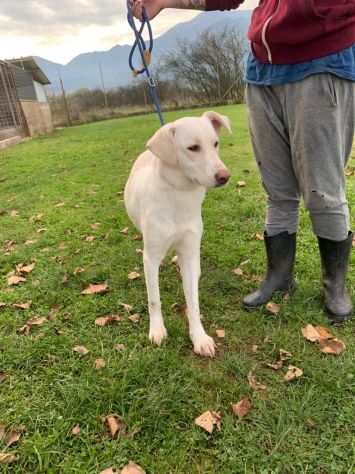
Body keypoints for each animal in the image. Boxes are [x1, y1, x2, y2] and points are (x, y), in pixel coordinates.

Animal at [124, 111, 232, 356]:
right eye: (193, 148)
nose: (225, 176)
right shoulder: (151, 257)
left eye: (215, 144)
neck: (179, 194)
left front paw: (199, 337)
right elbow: (154, 299)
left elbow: (193, 302)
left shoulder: (190, 250)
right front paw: (157, 330)